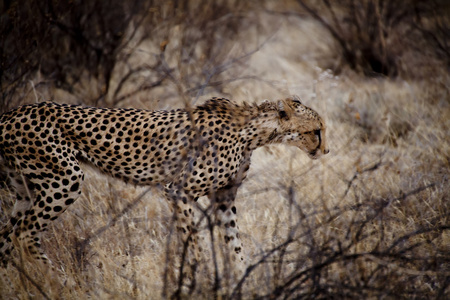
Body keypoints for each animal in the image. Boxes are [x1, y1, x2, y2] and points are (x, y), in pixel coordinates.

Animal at [0, 97, 326, 274]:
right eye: (317, 130)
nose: (326, 151)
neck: (253, 131)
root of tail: (11, 113)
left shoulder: (223, 198)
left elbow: (235, 247)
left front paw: (242, 279)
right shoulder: (178, 191)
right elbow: (195, 247)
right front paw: (200, 280)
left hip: (25, 191)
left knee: (6, 234)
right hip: (65, 180)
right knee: (25, 233)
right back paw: (60, 280)